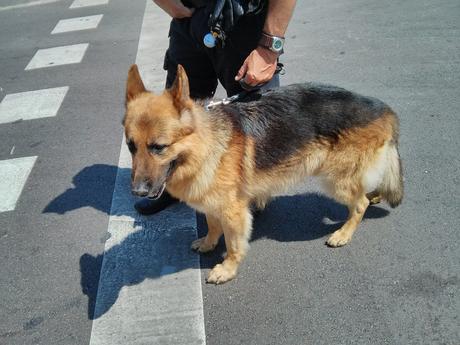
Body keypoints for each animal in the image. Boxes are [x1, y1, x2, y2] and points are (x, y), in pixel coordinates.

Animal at [123, 63, 402, 282]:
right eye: (131, 146)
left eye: (159, 147)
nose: (138, 191)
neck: (203, 146)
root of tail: (386, 109)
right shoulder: (213, 203)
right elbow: (213, 226)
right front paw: (208, 243)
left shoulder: (233, 212)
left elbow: (233, 244)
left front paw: (227, 269)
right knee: (366, 190)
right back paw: (374, 196)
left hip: (336, 181)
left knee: (359, 204)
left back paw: (343, 233)